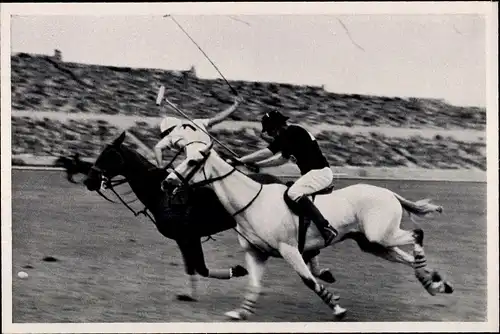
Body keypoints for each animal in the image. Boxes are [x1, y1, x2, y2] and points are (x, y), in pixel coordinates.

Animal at [164, 143, 454, 320]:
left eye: (192, 161)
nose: (167, 183)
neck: (252, 202)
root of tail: (389, 193)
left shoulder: (290, 250)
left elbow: (309, 281)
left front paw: (337, 308)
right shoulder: (256, 253)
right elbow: (254, 285)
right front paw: (241, 313)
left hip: (380, 235)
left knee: (417, 235)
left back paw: (430, 276)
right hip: (374, 244)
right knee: (408, 258)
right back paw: (434, 283)